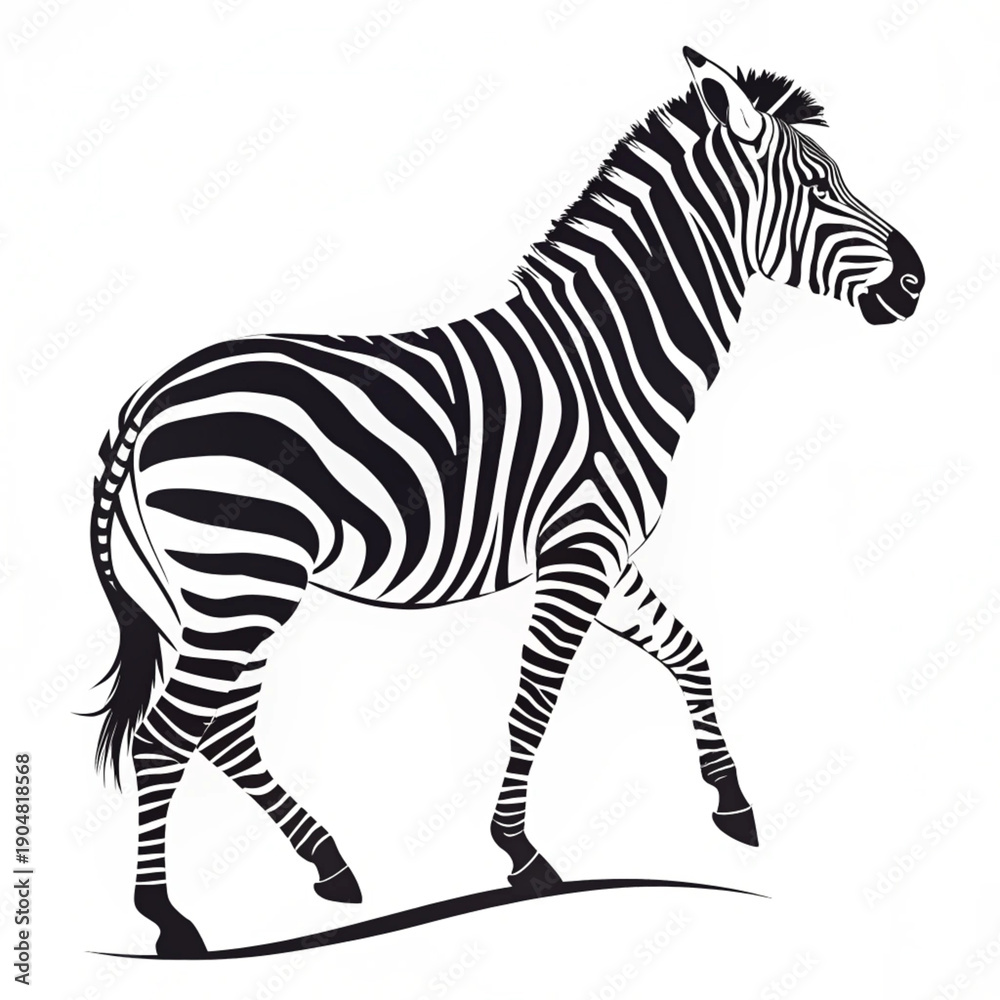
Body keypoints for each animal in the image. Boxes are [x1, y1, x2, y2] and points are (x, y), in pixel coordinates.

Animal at [87, 48, 923, 957]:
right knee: (169, 736)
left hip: (219, 590)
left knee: (225, 728)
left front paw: (731, 803)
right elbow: (536, 699)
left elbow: (686, 651)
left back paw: (331, 867)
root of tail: (149, 397)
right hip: (244, 576)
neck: (612, 357)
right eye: (816, 183)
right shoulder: (580, 551)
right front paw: (521, 853)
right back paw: (171, 920)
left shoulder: (606, 552)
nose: (917, 281)